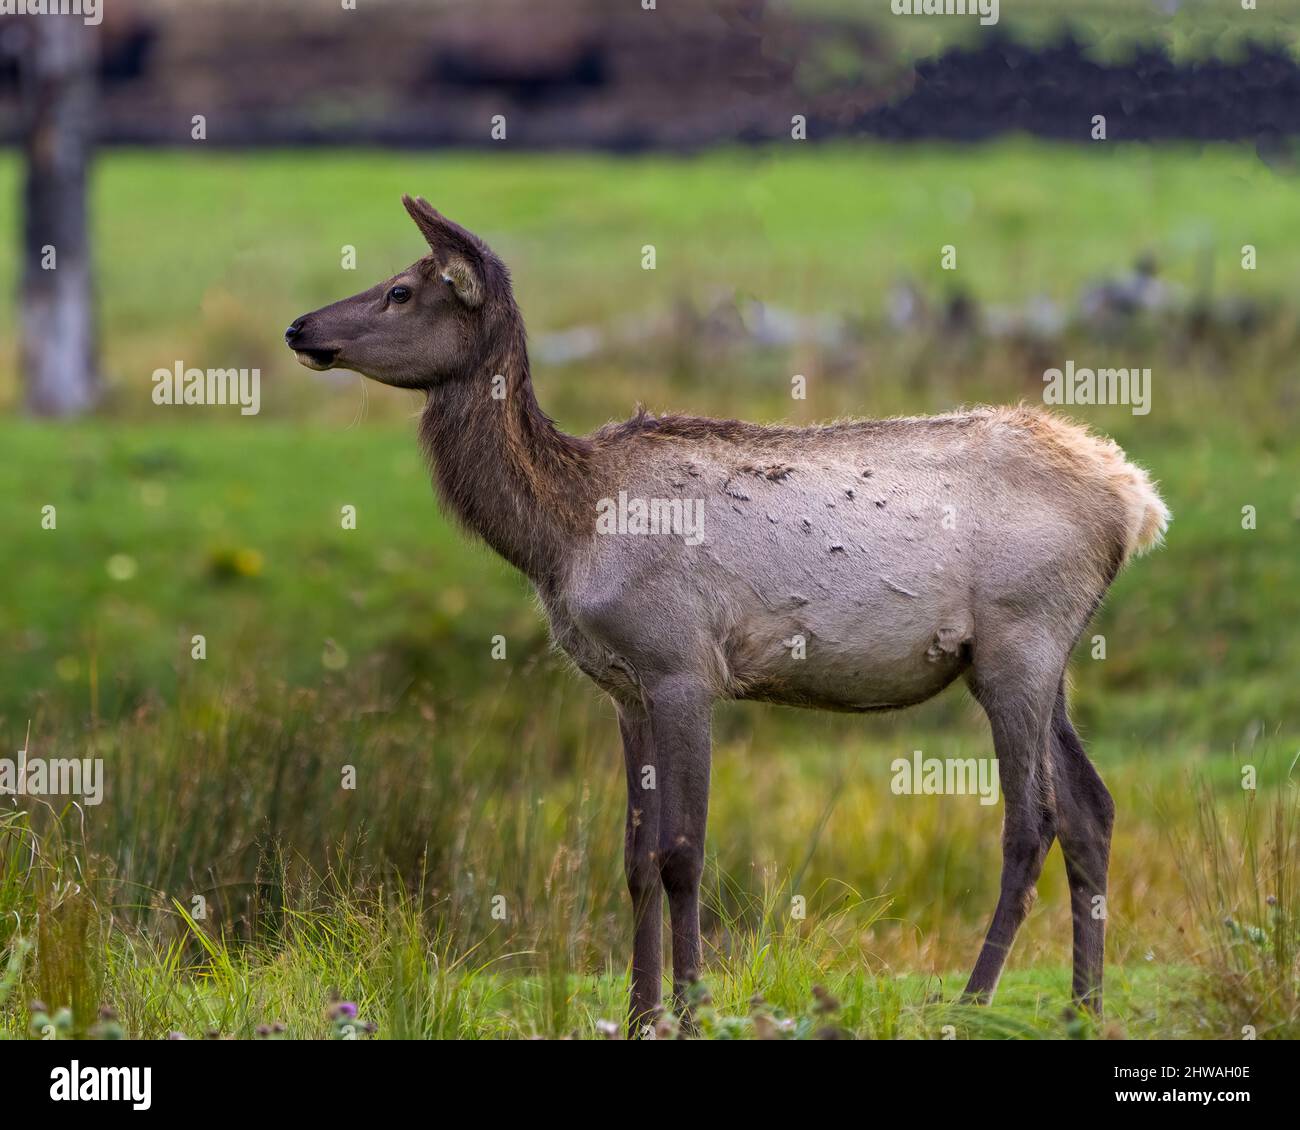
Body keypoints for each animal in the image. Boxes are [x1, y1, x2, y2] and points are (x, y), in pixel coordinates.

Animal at [289, 200, 1175, 1029]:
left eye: (402, 291)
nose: (300, 327)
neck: (563, 532)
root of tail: (1136, 501)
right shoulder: (625, 687)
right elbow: (633, 857)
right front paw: (639, 1012)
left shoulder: (681, 664)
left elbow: (684, 851)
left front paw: (688, 1009)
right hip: (1043, 653)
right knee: (1092, 807)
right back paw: (1082, 1006)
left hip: (1019, 640)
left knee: (1034, 821)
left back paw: (972, 1002)